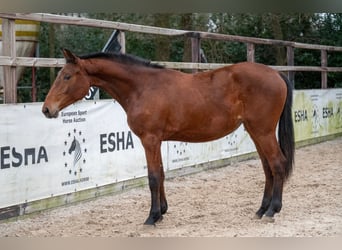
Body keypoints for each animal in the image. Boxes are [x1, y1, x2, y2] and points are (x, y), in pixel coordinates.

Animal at [42, 48, 294, 225]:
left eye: (67, 76)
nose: (46, 109)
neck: (143, 87)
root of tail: (276, 73)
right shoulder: (156, 141)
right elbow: (161, 174)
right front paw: (162, 211)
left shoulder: (150, 140)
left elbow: (154, 177)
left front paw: (152, 217)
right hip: (256, 132)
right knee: (267, 168)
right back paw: (261, 209)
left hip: (263, 132)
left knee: (277, 164)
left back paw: (273, 210)